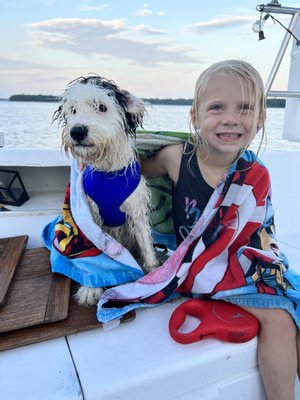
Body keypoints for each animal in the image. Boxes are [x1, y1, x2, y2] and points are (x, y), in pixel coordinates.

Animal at [52, 76, 158, 306]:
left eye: (102, 107)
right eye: (73, 110)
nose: (77, 131)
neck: (108, 171)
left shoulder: (136, 211)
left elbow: (145, 242)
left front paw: (155, 271)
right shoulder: (89, 217)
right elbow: (94, 256)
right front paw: (90, 289)